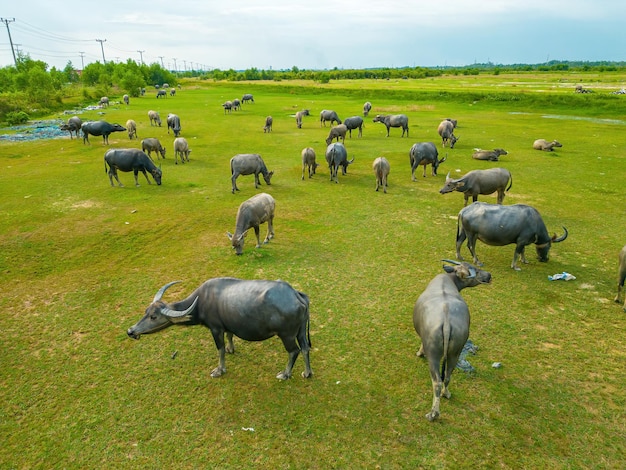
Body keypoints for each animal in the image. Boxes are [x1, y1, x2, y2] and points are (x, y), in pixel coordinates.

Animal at [127, 278, 312, 380]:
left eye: (154, 316)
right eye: (146, 311)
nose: (130, 331)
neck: (201, 302)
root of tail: (296, 295)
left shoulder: (215, 329)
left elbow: (220, 349)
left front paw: (219, 370)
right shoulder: (227, 325)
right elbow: (230, 336)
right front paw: (231, 349)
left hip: (287, 335)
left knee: (294, 351)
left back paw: (285, 374)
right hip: (301, 331)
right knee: (305, 348)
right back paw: (307, 373)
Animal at [412, 260, 490, 422]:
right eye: (476, 270)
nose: (489, 275)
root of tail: (447, 321)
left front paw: (419, 352)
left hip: (434, 355)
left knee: (437, 381)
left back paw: (433, 413)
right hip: (456, 352)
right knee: (447, 376)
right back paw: (446, 393)